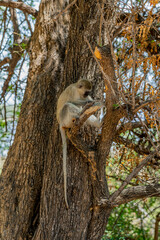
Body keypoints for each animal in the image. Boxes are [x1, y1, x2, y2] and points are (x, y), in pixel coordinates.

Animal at [56, 79, 101, 208]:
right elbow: (72, 101)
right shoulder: (72, 92)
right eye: (86, 91)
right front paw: (90, 102)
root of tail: (60, 124)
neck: (77, 90)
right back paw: (78, 115)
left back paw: (97, 124)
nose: (87, 96)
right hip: (64, 118)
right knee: (68, 106)